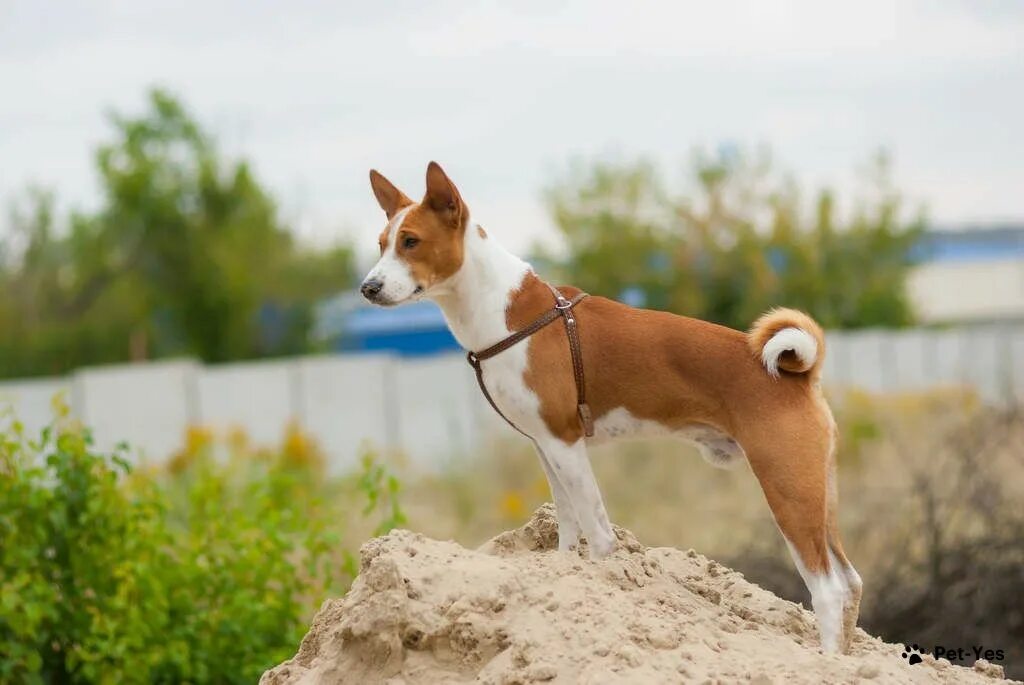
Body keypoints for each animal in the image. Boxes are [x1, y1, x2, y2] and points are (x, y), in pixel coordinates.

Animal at [360, 160, 864, 651]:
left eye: (411, 242)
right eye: (382, 244)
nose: (368, 287)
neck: (504, 314)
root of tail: (801, 375)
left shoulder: (565, 442)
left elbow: (597, 531)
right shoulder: (545, 445)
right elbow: (567, 525)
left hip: (786, 488)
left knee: (827, 589)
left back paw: (826, 661)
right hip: (817, 490)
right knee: (851, 581)